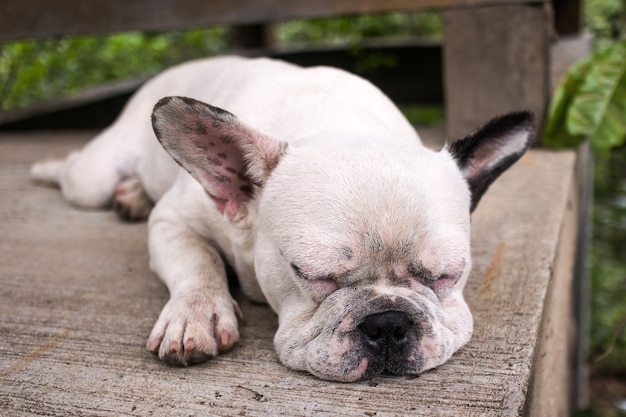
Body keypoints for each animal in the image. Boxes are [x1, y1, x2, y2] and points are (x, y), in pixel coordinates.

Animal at [31, 55, 532, 380]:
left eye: (449, 275)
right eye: (310, 273)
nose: (388, 322)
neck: (337, 120)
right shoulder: (173, 219)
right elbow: (198, 261)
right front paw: (195, 314)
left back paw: (132, 194)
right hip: (92, 179)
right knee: (76, 169)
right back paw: (47, 170)